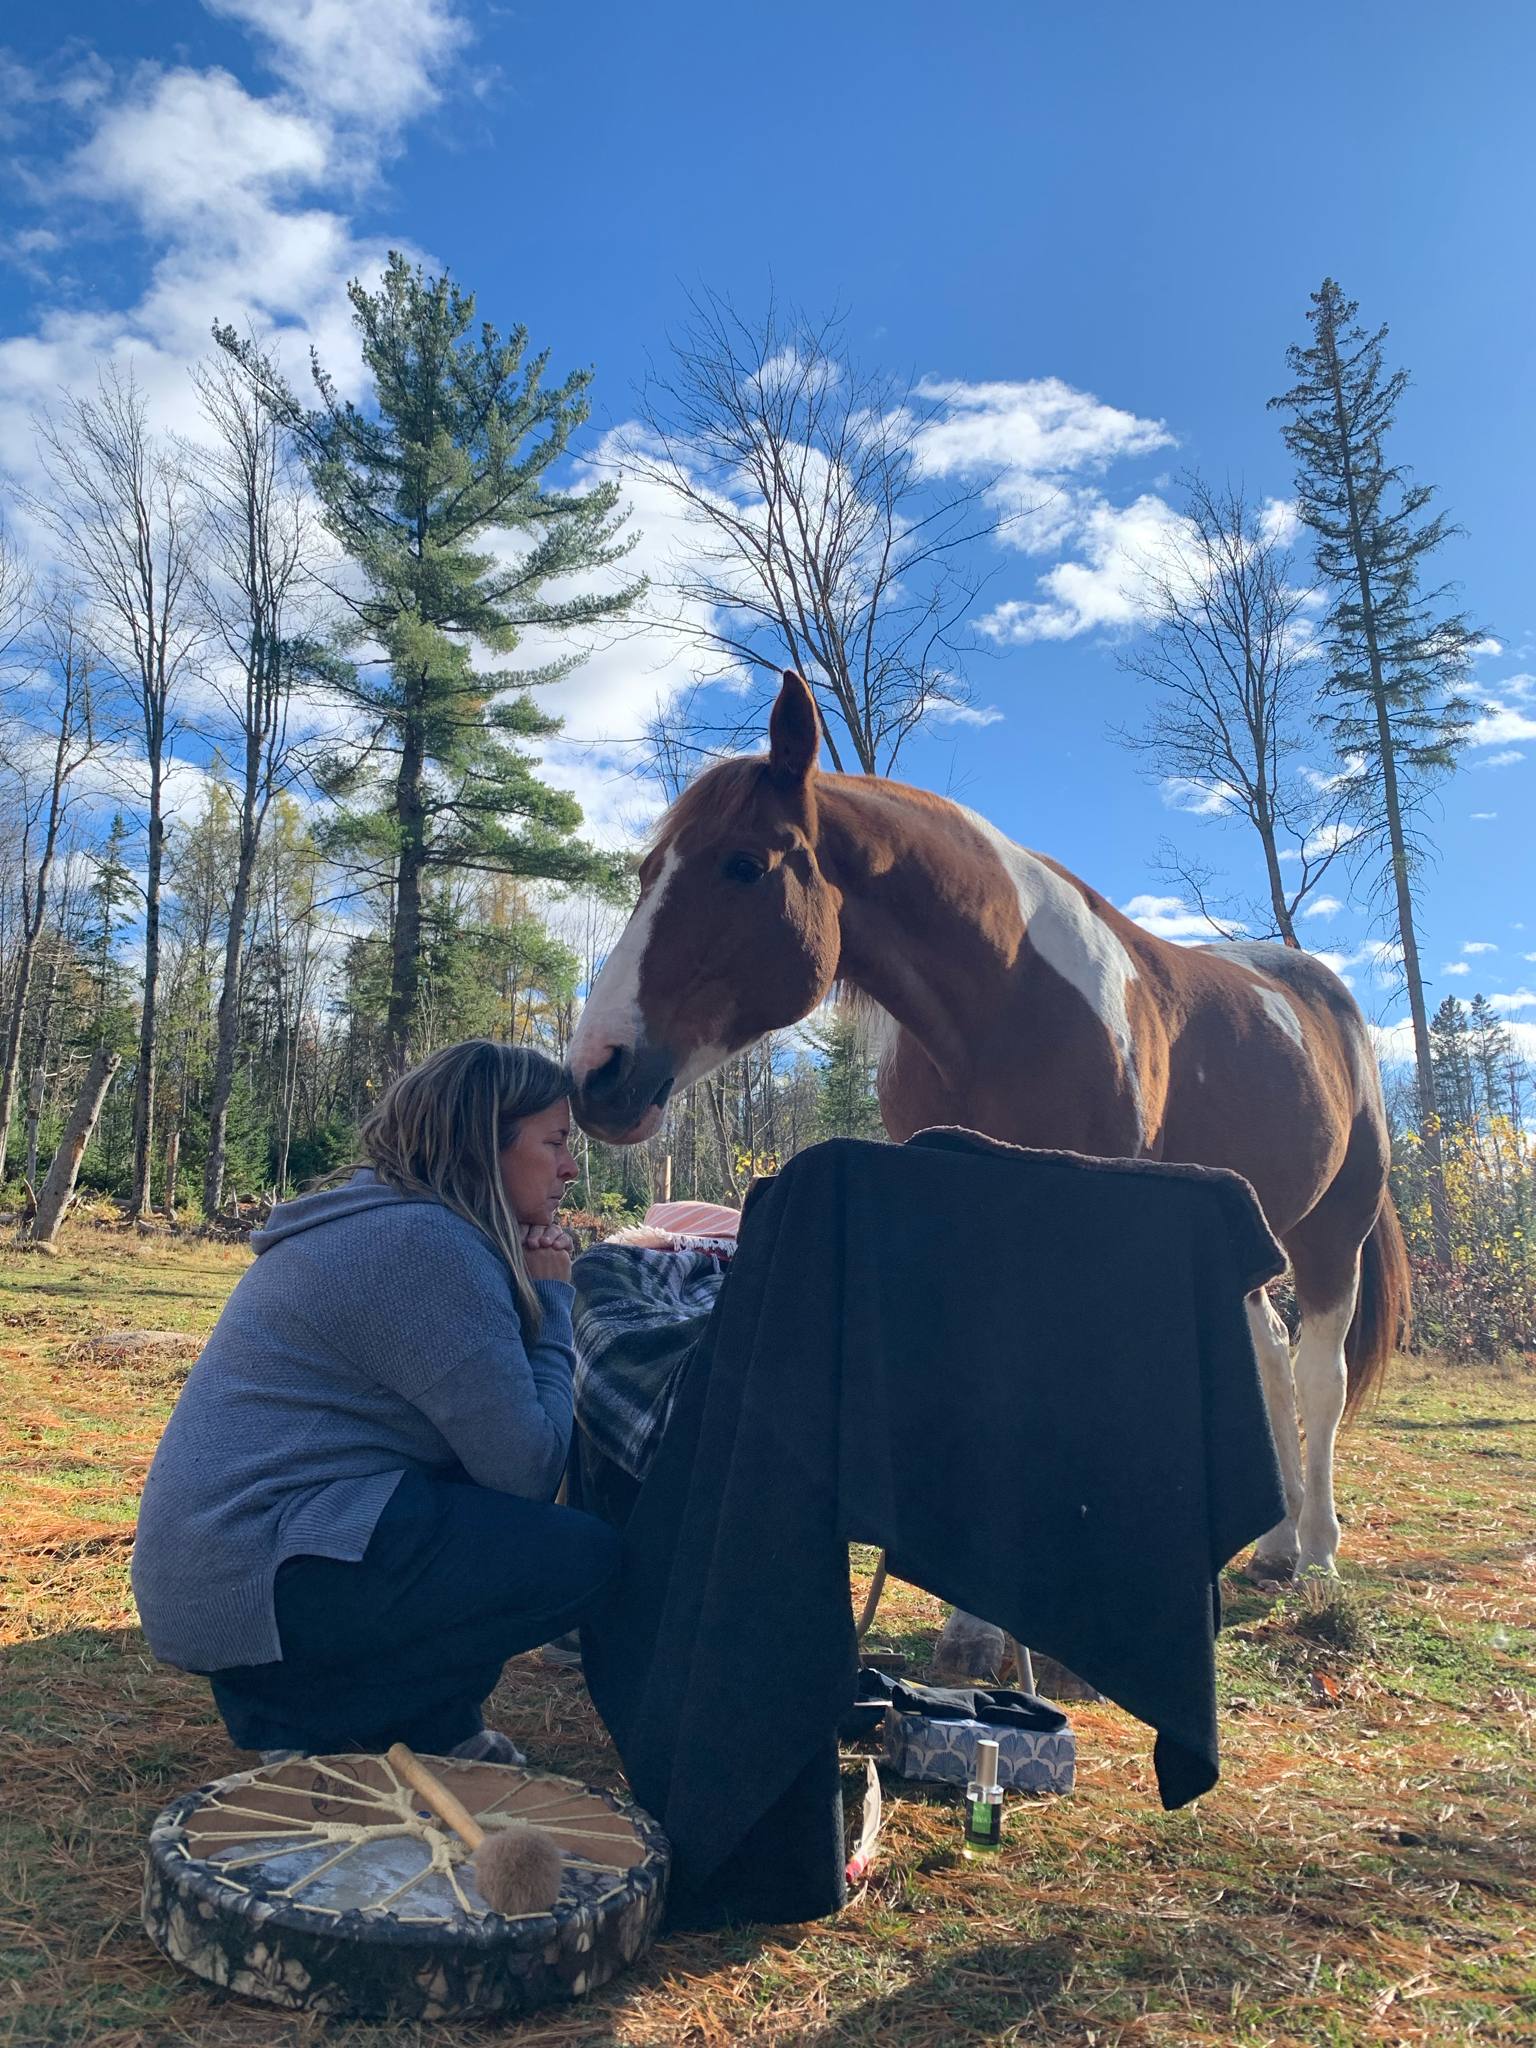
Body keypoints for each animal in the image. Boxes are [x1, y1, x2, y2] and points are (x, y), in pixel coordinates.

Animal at [570, 670, 1409, 1582]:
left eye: (744, 866)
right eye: (647, 872)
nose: (597, 1072)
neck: (1003, 1003)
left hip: (1332, 1230)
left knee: (1319, 1374)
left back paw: (1318, 1549)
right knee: (1274, 1363)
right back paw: (1279, 1540)